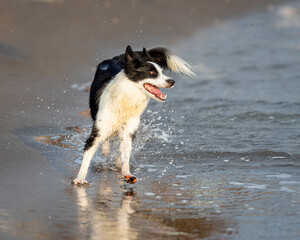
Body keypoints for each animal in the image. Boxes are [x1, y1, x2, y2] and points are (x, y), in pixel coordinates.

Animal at [72, 46, 195, 186]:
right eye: (152, 73)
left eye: (162, 72)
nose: (172, 82)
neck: (127, 96)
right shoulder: (99, 129)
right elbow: (88, 155)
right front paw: (80, 178)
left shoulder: (128, 130)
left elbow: (125, 153)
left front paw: (127, 173)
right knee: (105, 140)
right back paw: (105, 149)